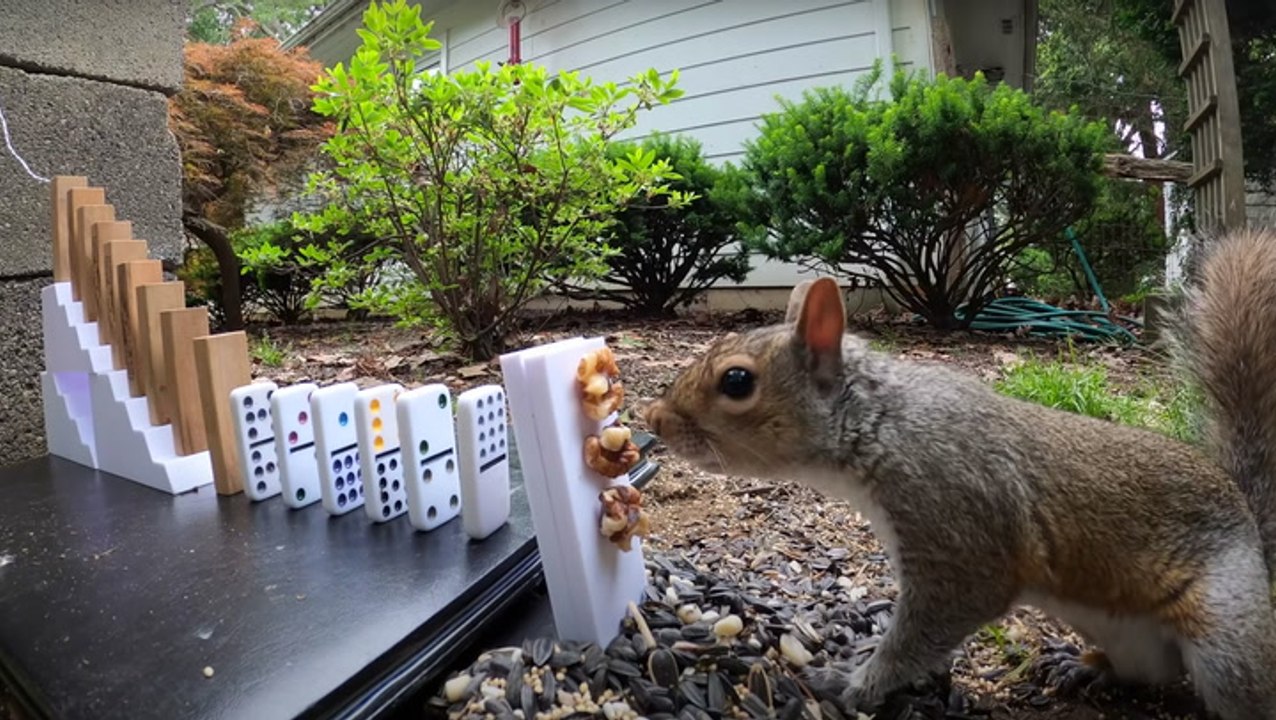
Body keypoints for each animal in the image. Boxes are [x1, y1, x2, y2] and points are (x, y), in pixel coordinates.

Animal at [639, 226, 1276, 719]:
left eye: (737, 381)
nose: (654, 420)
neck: (881, 427)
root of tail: (1247, 516)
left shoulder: (958, 525)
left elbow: (937, 621)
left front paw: (855, 684)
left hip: (1226, 635)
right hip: (1127, 635)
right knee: (1148, 671)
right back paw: (1084, 665)